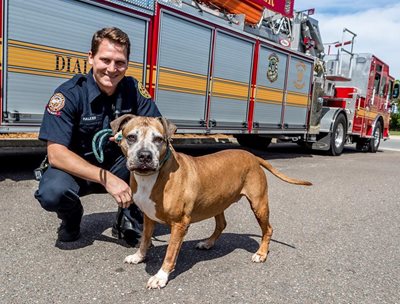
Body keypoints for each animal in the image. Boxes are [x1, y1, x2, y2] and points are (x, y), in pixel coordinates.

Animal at [110, 114, 312, 290]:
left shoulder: (179, 224)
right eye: (131, 137)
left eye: (158, 139)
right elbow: (145, 239)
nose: (145, 156)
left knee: (268, 229)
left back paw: (261, 253)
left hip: (259, 204)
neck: (152, 177)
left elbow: (170, 253)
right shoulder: (148, 216)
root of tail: (253, 157)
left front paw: (161, 276)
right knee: (222, 224)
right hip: (217, 202)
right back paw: (208, 243)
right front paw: (139, 257)